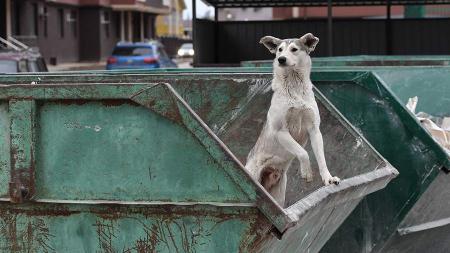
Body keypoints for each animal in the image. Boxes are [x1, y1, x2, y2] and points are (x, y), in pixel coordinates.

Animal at [246, 33, 342, 208]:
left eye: (294, 49)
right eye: (279, 49)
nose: (281, 59)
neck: (294, 86)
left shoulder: (315, 130)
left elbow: (321, 158)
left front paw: (328, 178)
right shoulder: (281, 132)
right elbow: (303, 153)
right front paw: (306, 172)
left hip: (278, 194)